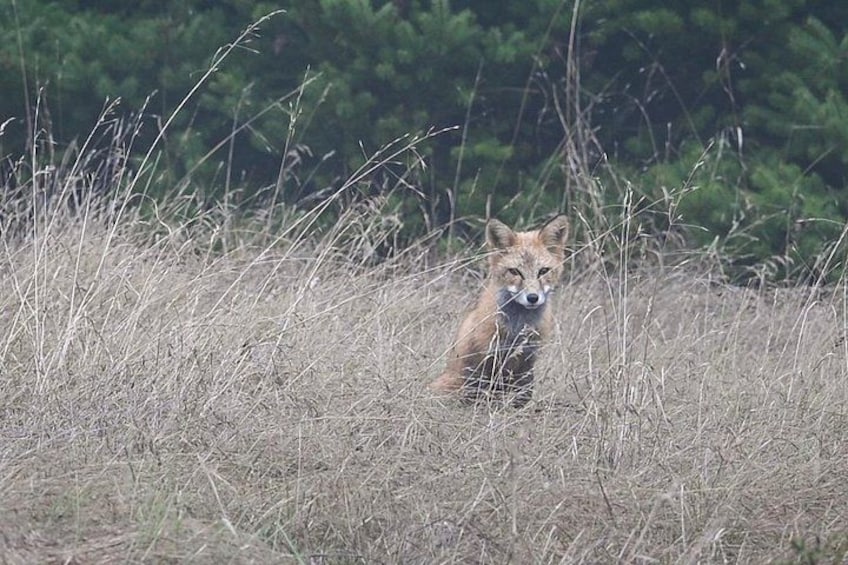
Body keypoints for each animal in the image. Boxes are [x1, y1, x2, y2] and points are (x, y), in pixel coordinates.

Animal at [430, 215, 570, 407]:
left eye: (543, 271)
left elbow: (523, 395)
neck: (518, 328)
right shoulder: (487, 359)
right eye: (515, 271)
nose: (533, 297)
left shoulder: (527, 361)